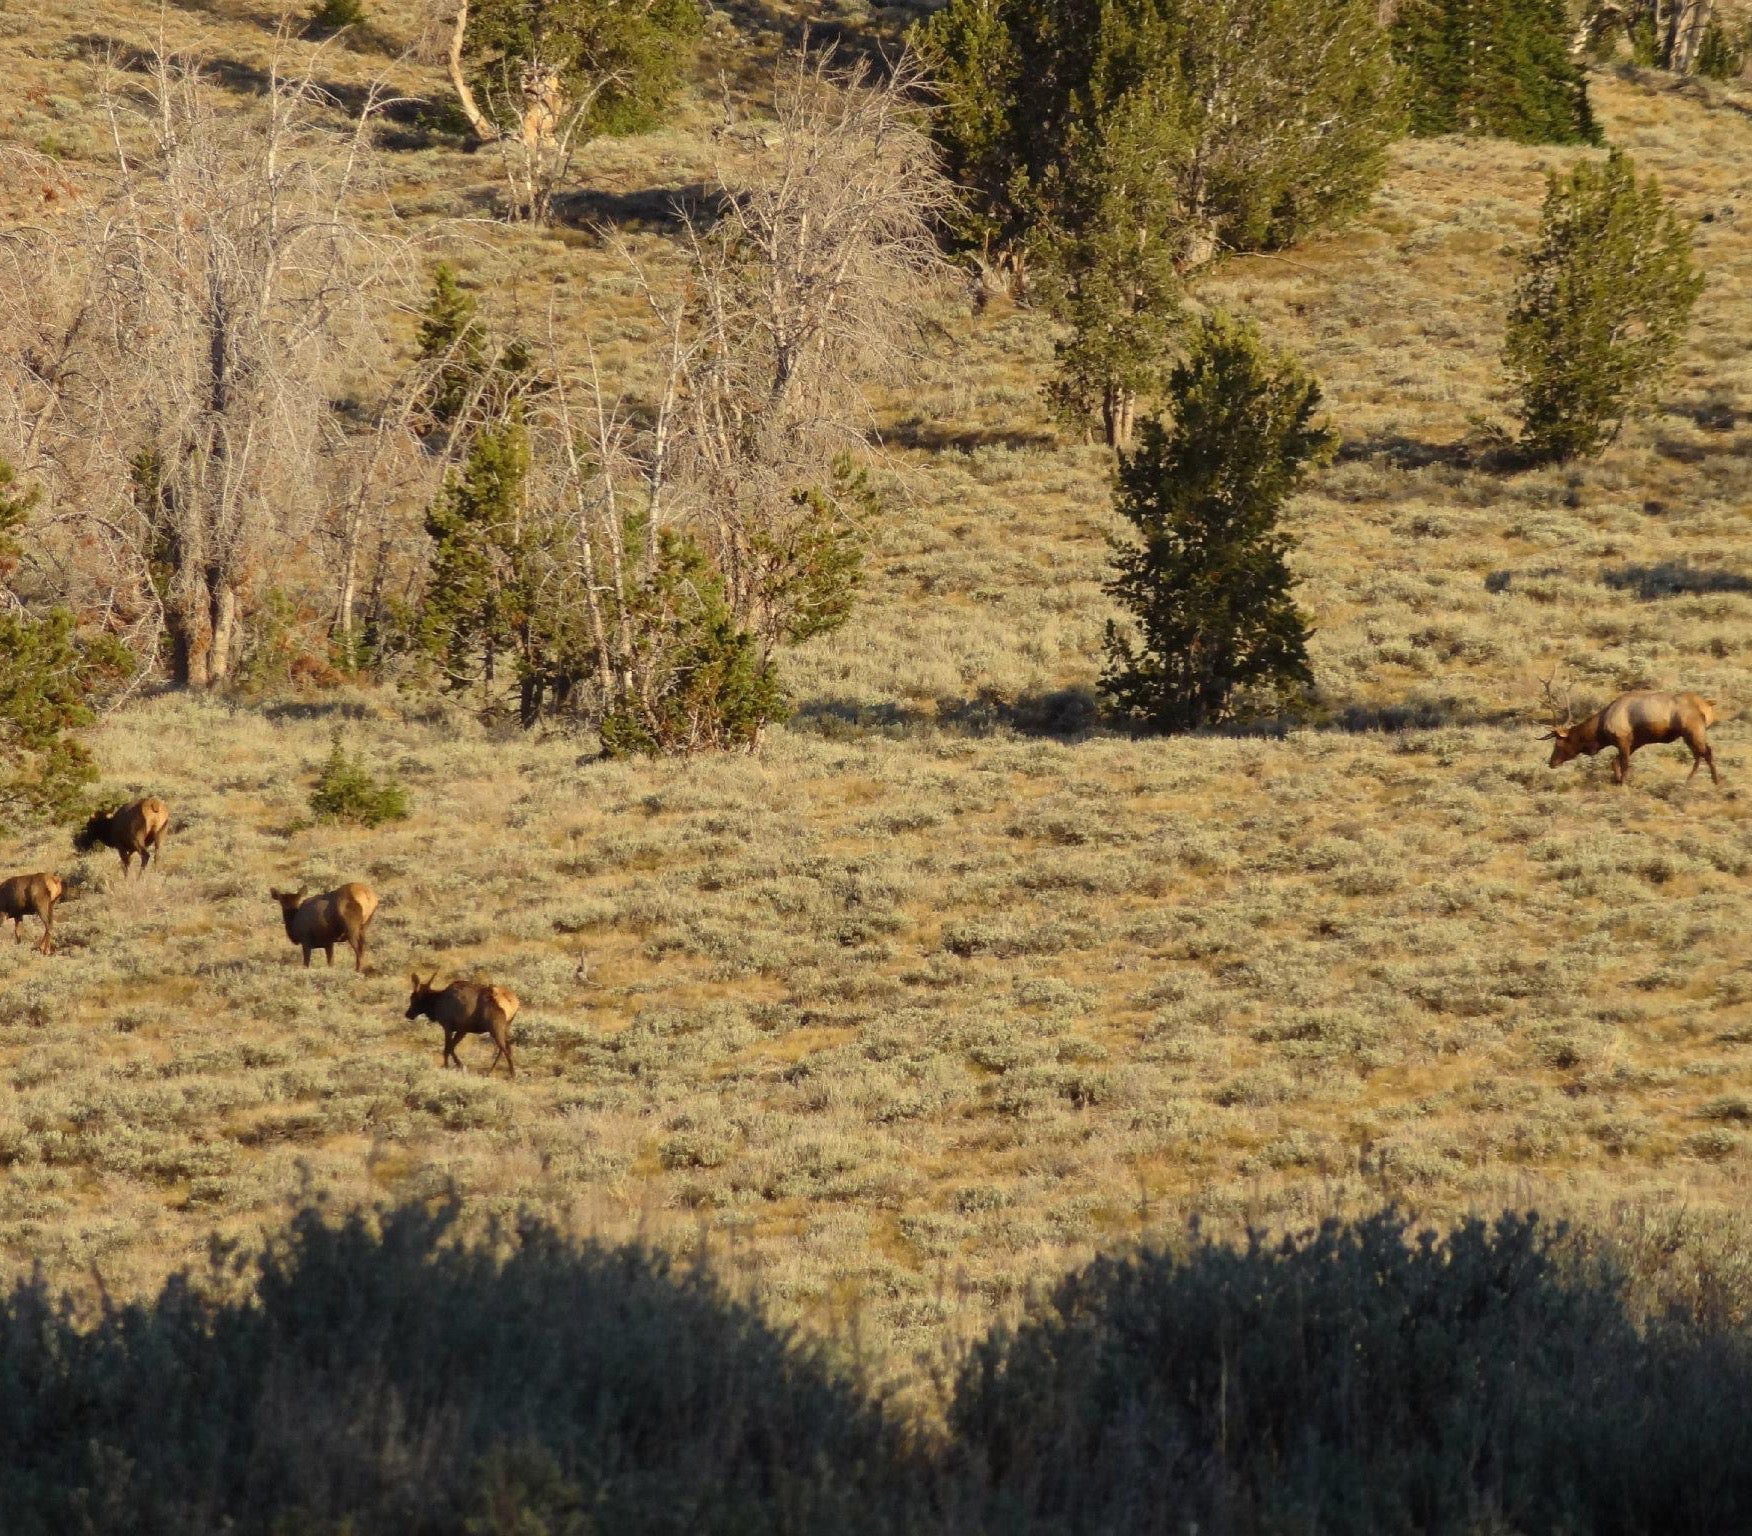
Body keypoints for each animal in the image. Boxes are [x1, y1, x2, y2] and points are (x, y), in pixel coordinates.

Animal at [1541, 670, 1721, 786]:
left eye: (1558, 743)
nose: (1551, 763)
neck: (1600, 730)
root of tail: (1708, 704)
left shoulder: (1623, 740)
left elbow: (1625, 764)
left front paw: (1623, 784)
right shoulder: (1635, 742)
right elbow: (1614, 762)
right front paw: (1617, 781)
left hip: (1692, 731)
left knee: (1706, 752)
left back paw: (1712, 781)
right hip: (1690, 734)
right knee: (1700, 754)